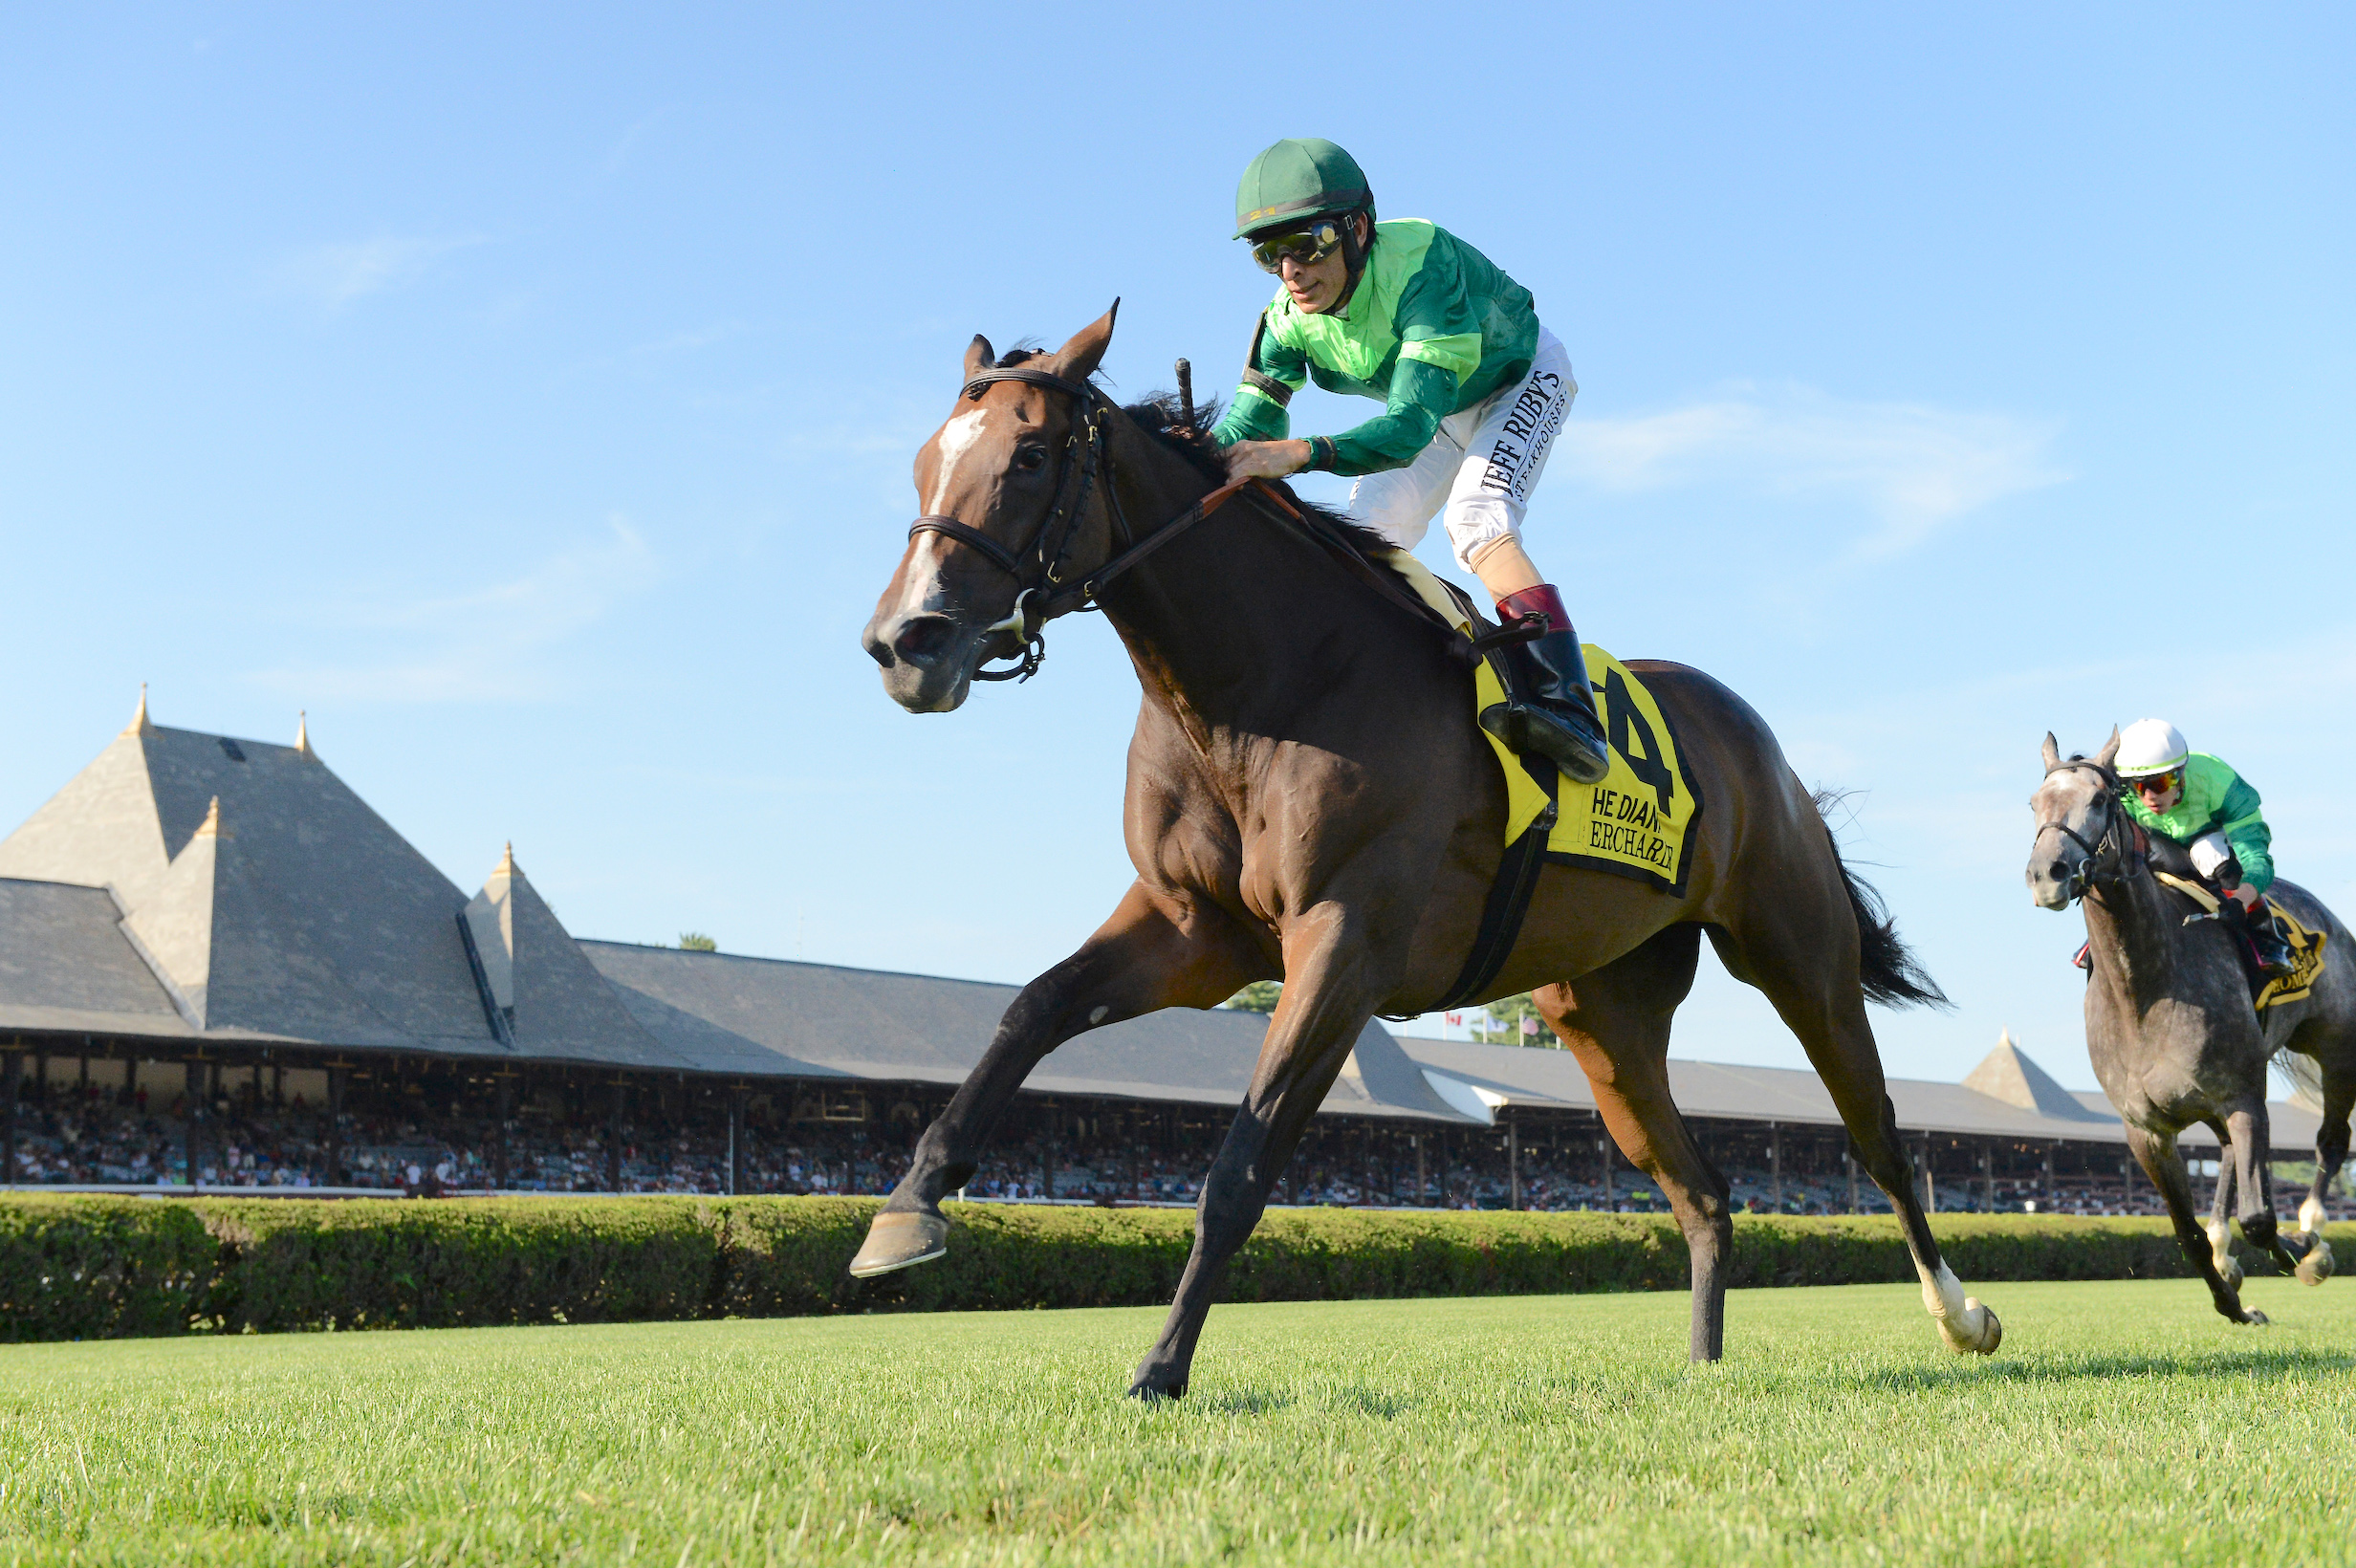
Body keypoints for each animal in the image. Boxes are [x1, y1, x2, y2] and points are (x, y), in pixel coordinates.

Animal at [857, 308, 1997, 1393]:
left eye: (1030, 456)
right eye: (920, 461)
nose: (905, 642)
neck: (1262, 681)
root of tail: (1760, 743)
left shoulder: (1343, 942)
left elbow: (1240, 1166)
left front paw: (1160, 1369)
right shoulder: (1194, 928)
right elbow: (1032, 1008)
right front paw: (906, 1213)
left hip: (1797, 956)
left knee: (1877, 1133)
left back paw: (1962, 1316)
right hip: (1603, 1016)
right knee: (1706, 1193)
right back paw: (1704, 1367)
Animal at [2026, 725, 2356, 1309]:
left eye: (2100, 799)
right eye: (2034, 803)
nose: (2048, 874)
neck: (2144, 994)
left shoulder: (2242, 1098)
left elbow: (2261, 1219)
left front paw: (2300, 1249)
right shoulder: (2147, 1131)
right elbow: (2189, 1234)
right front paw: (2234, 1304)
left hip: (2337, 1047)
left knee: (2332, 1141)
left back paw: (2313, 1230)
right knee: (2228, 1158)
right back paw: (2231, 1249)